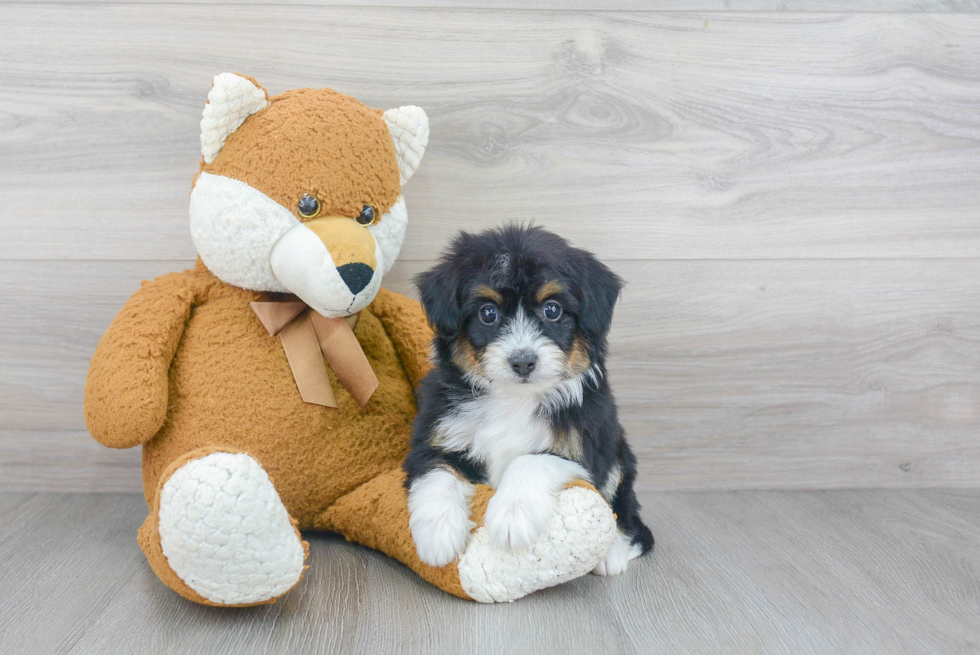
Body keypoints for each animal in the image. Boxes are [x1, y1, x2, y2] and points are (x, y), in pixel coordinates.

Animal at [402, 224, 656, 576]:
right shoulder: (437, 433)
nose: (523, 361)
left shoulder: (580, 447)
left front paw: (512, 517)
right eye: (488, 313)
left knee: (622, 508)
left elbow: (530, 460)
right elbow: (437, 472)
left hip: (618, 453)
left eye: (552, 310)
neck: (514, 398)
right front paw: (437, 535)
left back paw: (611, 554)